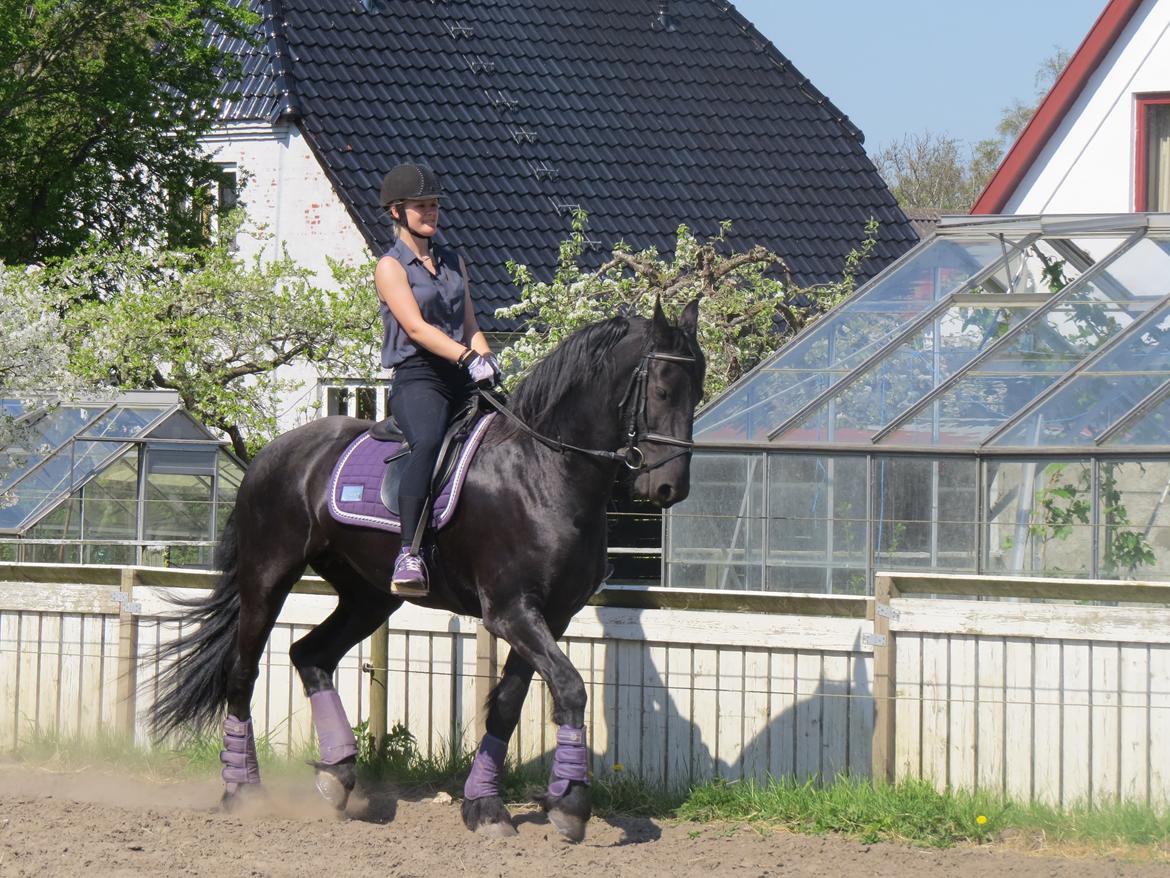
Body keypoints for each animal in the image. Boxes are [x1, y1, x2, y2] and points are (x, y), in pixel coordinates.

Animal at [153, 302, 702, 847]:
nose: (669, 487)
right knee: (243, 673)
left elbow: (508, 704)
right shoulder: (512, 612)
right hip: (268, 578)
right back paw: (242, 790)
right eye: (662, 389)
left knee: (309, 654)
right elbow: (570, 688)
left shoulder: (551, 617)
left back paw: (338, 774)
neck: (544, 469)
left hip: (369, 597)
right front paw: (570, 803)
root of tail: (272, 452)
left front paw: (485, 805)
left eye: (696, 391)